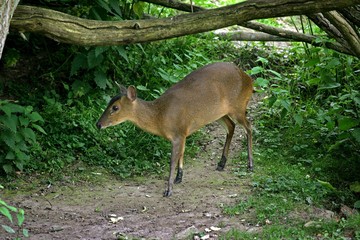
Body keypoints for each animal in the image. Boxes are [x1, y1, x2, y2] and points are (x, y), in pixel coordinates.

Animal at [95, 62, 253, 197]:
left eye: (115, 107)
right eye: (108, 103)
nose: (98, 124)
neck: (160, 116)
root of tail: (249, 78)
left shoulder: (178, 133)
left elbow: (172, 161)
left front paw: (168, 190)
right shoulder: (183, 133)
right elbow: (182, 154)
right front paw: (179, 178)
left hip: (238, 107)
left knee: (249, 127)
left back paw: (250, 165)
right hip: (218, 113)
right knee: (231, 126)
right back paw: (221, 164)